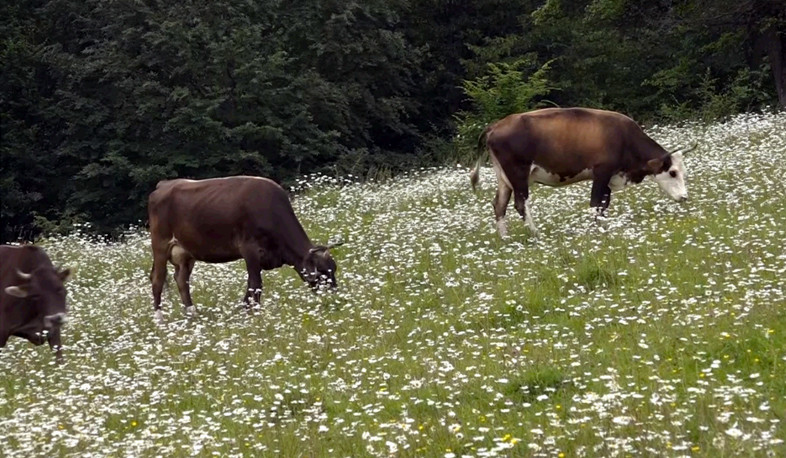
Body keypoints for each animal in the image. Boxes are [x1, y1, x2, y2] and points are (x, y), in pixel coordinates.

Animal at [149, 175, 342, 322]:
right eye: (321, 273)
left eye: (333, 270)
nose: (334, 299)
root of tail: (164, 184)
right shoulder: (250, 250)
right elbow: (256, 284)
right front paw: (254, 315)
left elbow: (250, 285)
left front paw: (245, 310)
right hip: (160, 244)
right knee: (158, 279)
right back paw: (159, 319)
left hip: (186, 253)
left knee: (182, 280)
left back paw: (193, 314)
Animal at [468, 107, 688, 236]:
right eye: (672, 172)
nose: (685, 197)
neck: (624, 137)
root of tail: (495, 125)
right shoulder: (602, 173)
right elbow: (595, 203)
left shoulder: (608, 179)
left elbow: (603, 204)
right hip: (518, 174)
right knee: (521, 204)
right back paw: (536, 234)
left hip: (504, 179)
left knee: (499, 205)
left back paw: (505, 238)